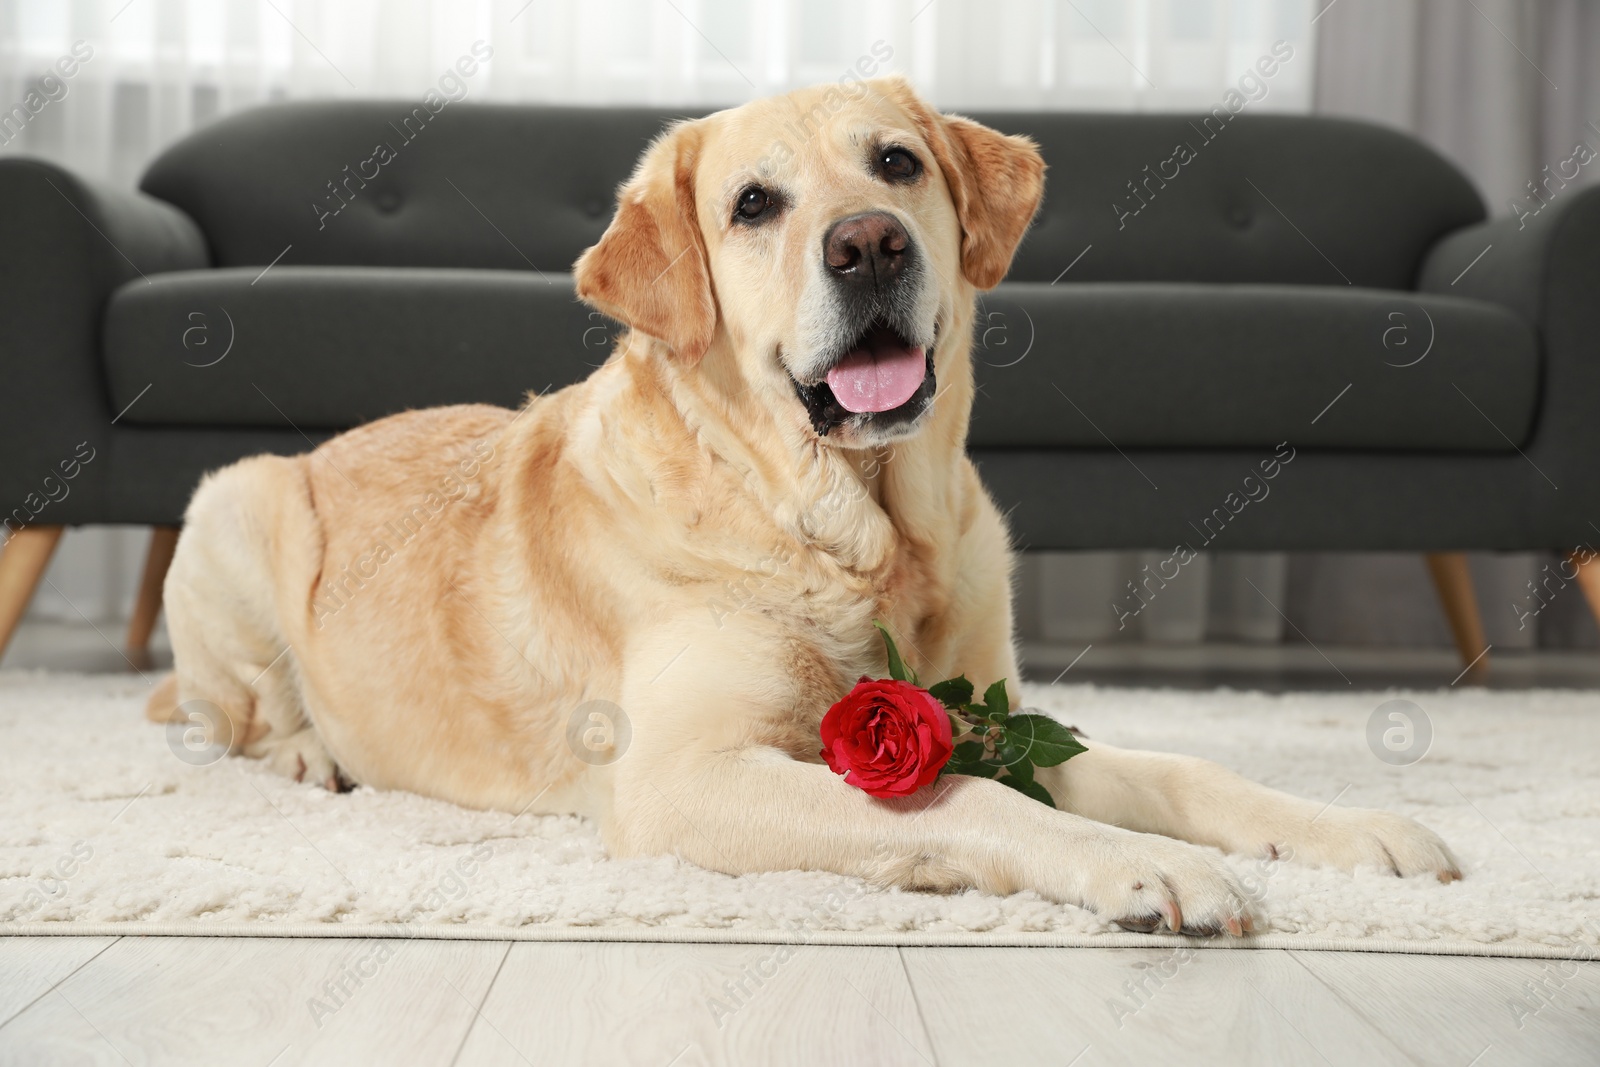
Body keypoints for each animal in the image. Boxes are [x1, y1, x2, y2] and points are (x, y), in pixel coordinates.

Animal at [150, 79, 1465, 934]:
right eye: (752, 204)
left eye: (896, 164)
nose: (869, 244)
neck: (853, 529)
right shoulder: (684, 777)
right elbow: (970, 797)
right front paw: (1141, 867)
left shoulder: (996, 710)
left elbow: (1183, 769)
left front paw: (1354, 829)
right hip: (235, 500)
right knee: (232, 711)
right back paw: (309, 750)